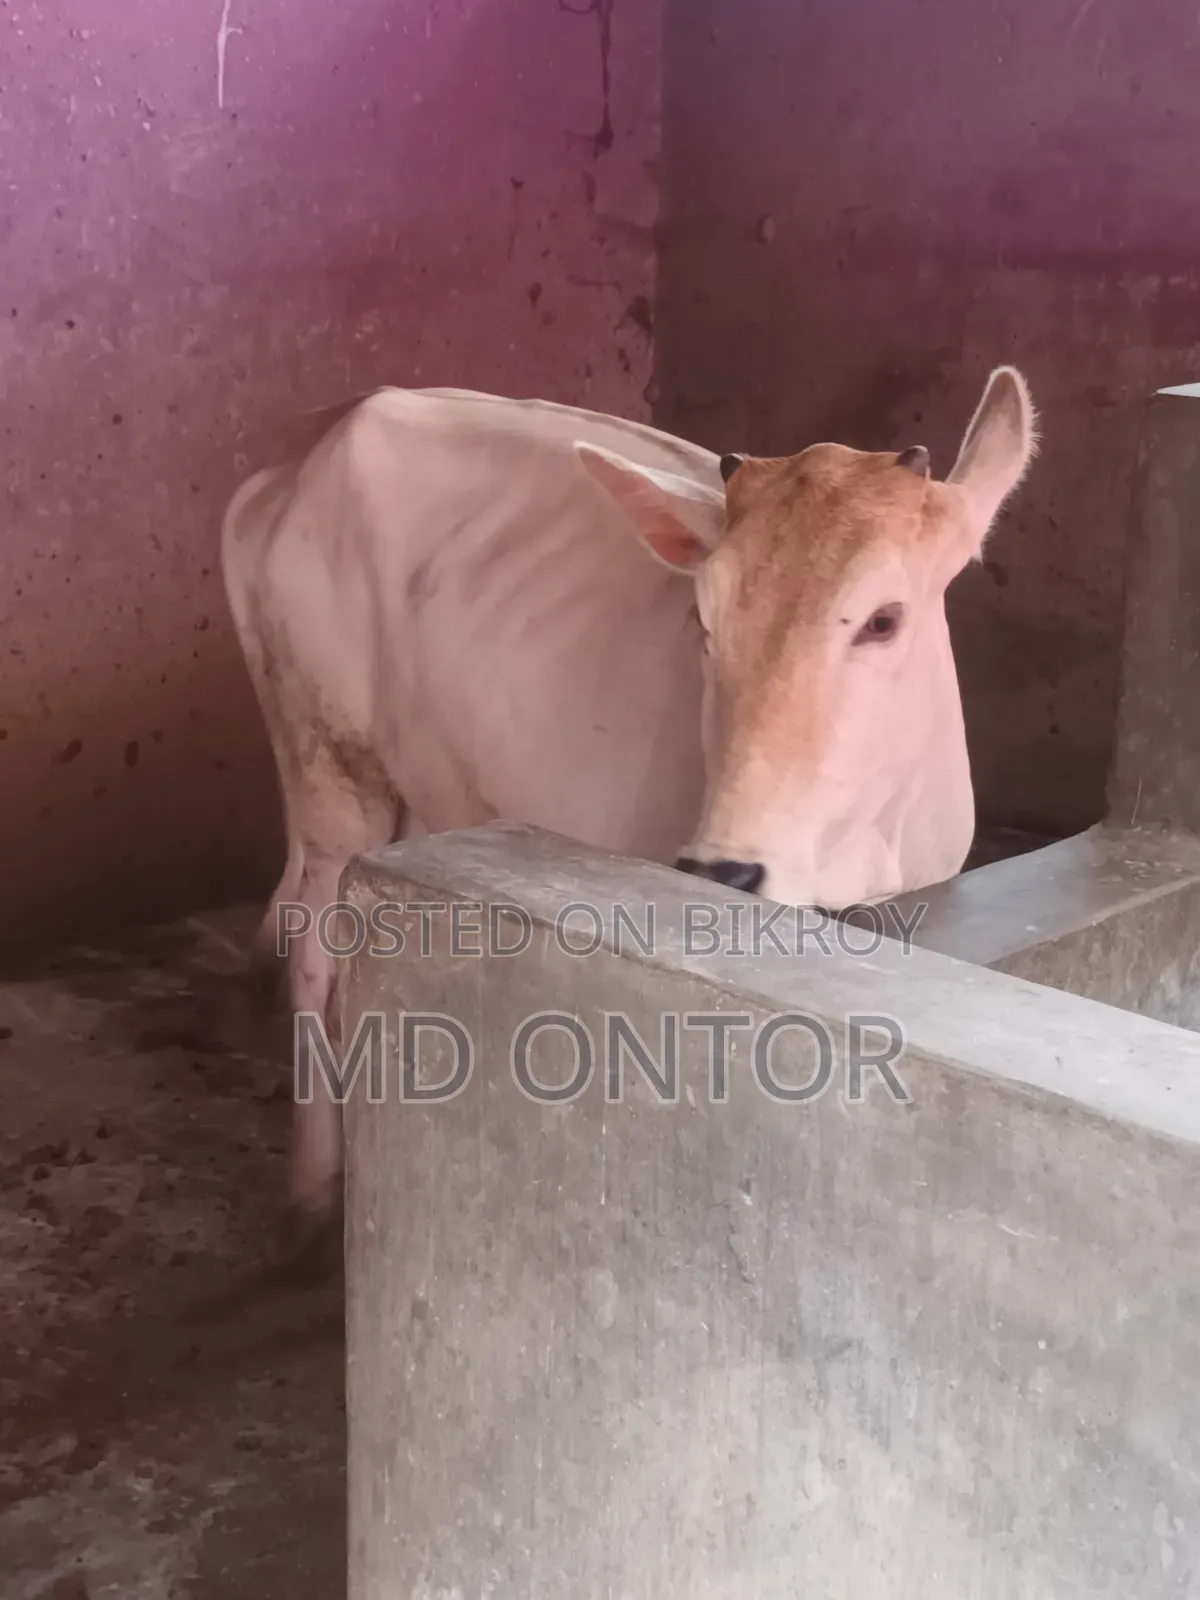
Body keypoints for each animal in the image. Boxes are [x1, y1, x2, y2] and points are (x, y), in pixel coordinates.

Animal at [220, 369, 1037, 1222]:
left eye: (883, 620)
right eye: (703, 622)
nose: (725, 871)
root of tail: (310, 441)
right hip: (328, 756)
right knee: (316, 955)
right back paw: (316, 1181)